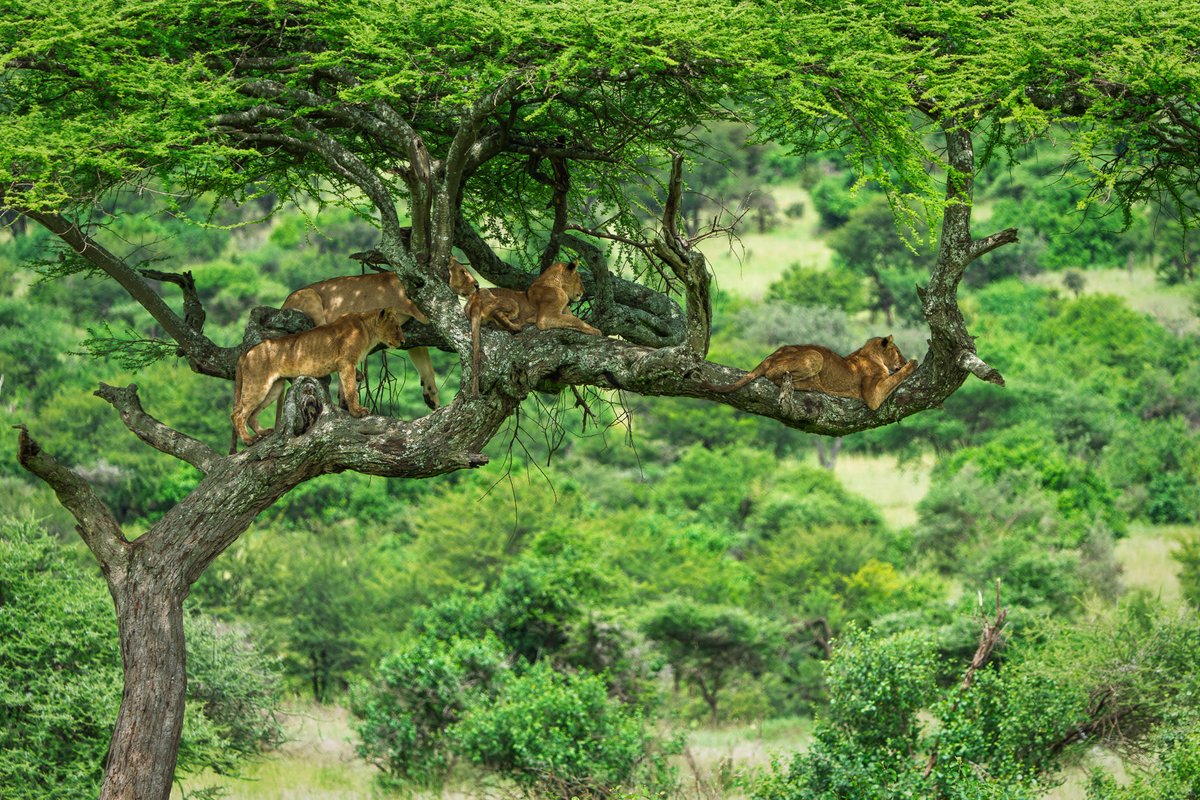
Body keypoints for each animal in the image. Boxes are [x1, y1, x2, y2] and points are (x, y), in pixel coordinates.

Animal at [231, 308, 405, 450]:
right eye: (397, 327)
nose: (403, 341)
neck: (368, 330)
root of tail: (247, 352)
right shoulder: (346, 362)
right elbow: (351, 390)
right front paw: (357, 411)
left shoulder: (343, 365)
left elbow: (345, 387)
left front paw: (347, 403)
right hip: (258, 385)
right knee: (238, 415)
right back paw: (248, 440)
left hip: (274, 388)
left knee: (251, 416)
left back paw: (262, 432)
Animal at [281, 271, 439, 409]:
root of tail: (283, 305)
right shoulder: (423, 313)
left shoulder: (407, 339)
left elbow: (426, 366)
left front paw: (431, 395)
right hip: (309, 294)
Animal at [450, 259, 602, 395]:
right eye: (579, 278)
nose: (583, 291)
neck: (555, 283)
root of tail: (474, 300)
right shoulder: (544, 318)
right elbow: (575, 320)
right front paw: (595, 330)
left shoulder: (562, 312)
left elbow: (573, 319)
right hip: (509, 302)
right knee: (497, 313)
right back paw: (516, 327)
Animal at [704, 335, 917, 410]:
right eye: (898, 352)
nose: (904, 360)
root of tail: (770, 356)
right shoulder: (873, 395)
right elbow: (895, 377)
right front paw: (913, 363)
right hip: (815, 356)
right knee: (778, 378)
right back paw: (813, 386)